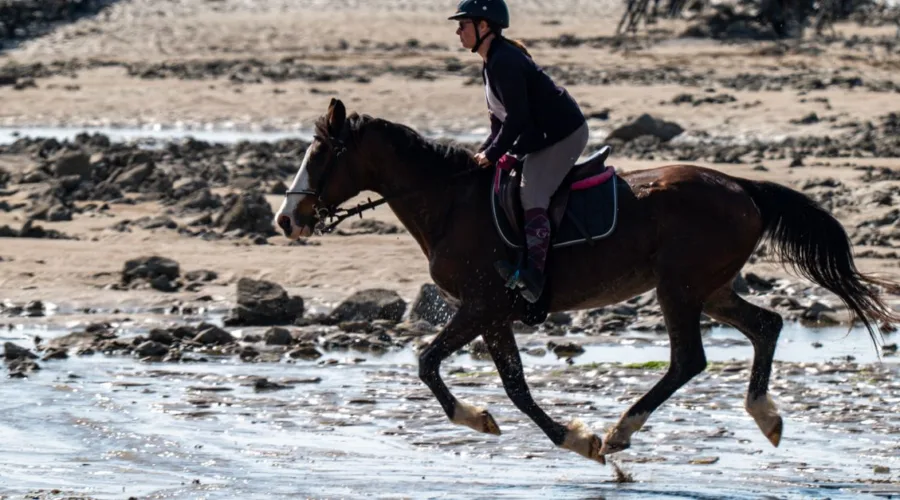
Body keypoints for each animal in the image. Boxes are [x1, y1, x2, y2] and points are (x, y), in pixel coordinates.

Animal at [274, 98, 899, 465]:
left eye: (321, 155)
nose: (286, 219)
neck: (450, 202)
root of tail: (743, 187)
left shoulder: (480, 305)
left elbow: (430, 363)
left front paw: (557, 436)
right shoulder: (495, 314)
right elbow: (516, 387)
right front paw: (568, 437)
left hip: (678, 287)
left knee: (688, 360)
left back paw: (623, 429)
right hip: (710, 287)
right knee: (765, 325)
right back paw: (764, 415)